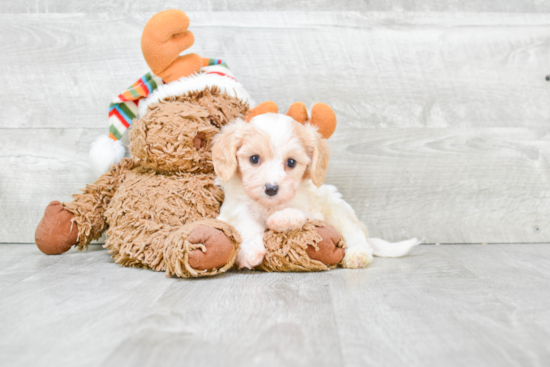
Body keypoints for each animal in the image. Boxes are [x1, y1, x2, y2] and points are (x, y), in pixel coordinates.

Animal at [213, 113, 420, 270]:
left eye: (291, 162)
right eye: (254, 159)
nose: (271, 188)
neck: (270, 206)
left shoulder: (313, 211)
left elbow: (298, 214)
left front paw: (281, 219)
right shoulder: (236, 209)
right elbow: (246, 223)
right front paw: (250, 252)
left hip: (338, 210)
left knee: (355, 235)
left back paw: (357, 255)